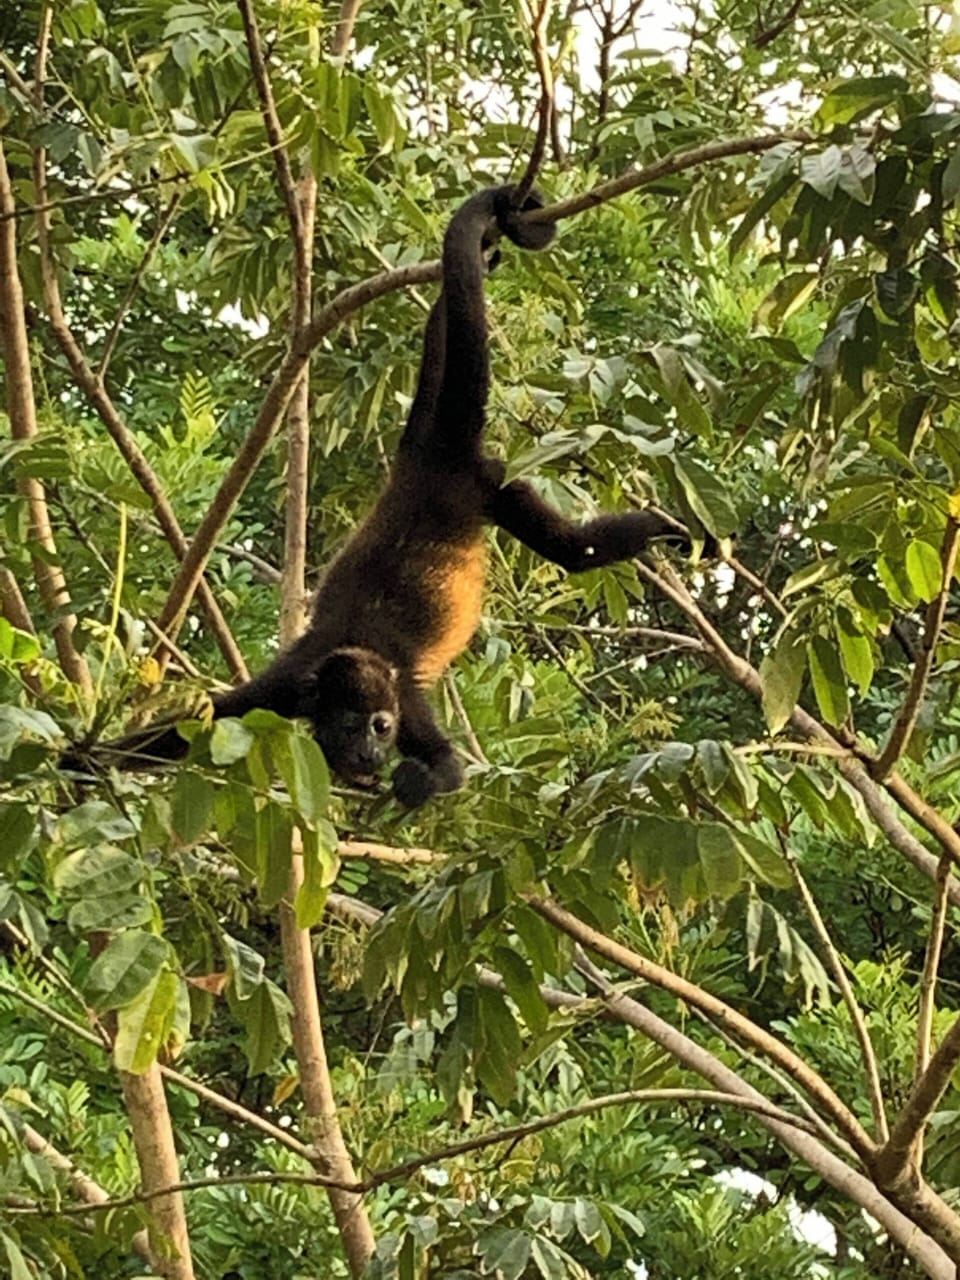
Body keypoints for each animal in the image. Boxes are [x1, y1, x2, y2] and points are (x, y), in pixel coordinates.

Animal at [64, 185, 693, 808]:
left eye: (382, 726)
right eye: (351, 726)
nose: (369, 753)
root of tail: (436, 458)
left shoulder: (404, 697)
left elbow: (447, 766)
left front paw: (412, 781)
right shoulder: (283, 686)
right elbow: (191, 728)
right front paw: (82, 759)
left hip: (493, 483)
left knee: (573, 551)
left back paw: (666, 529)